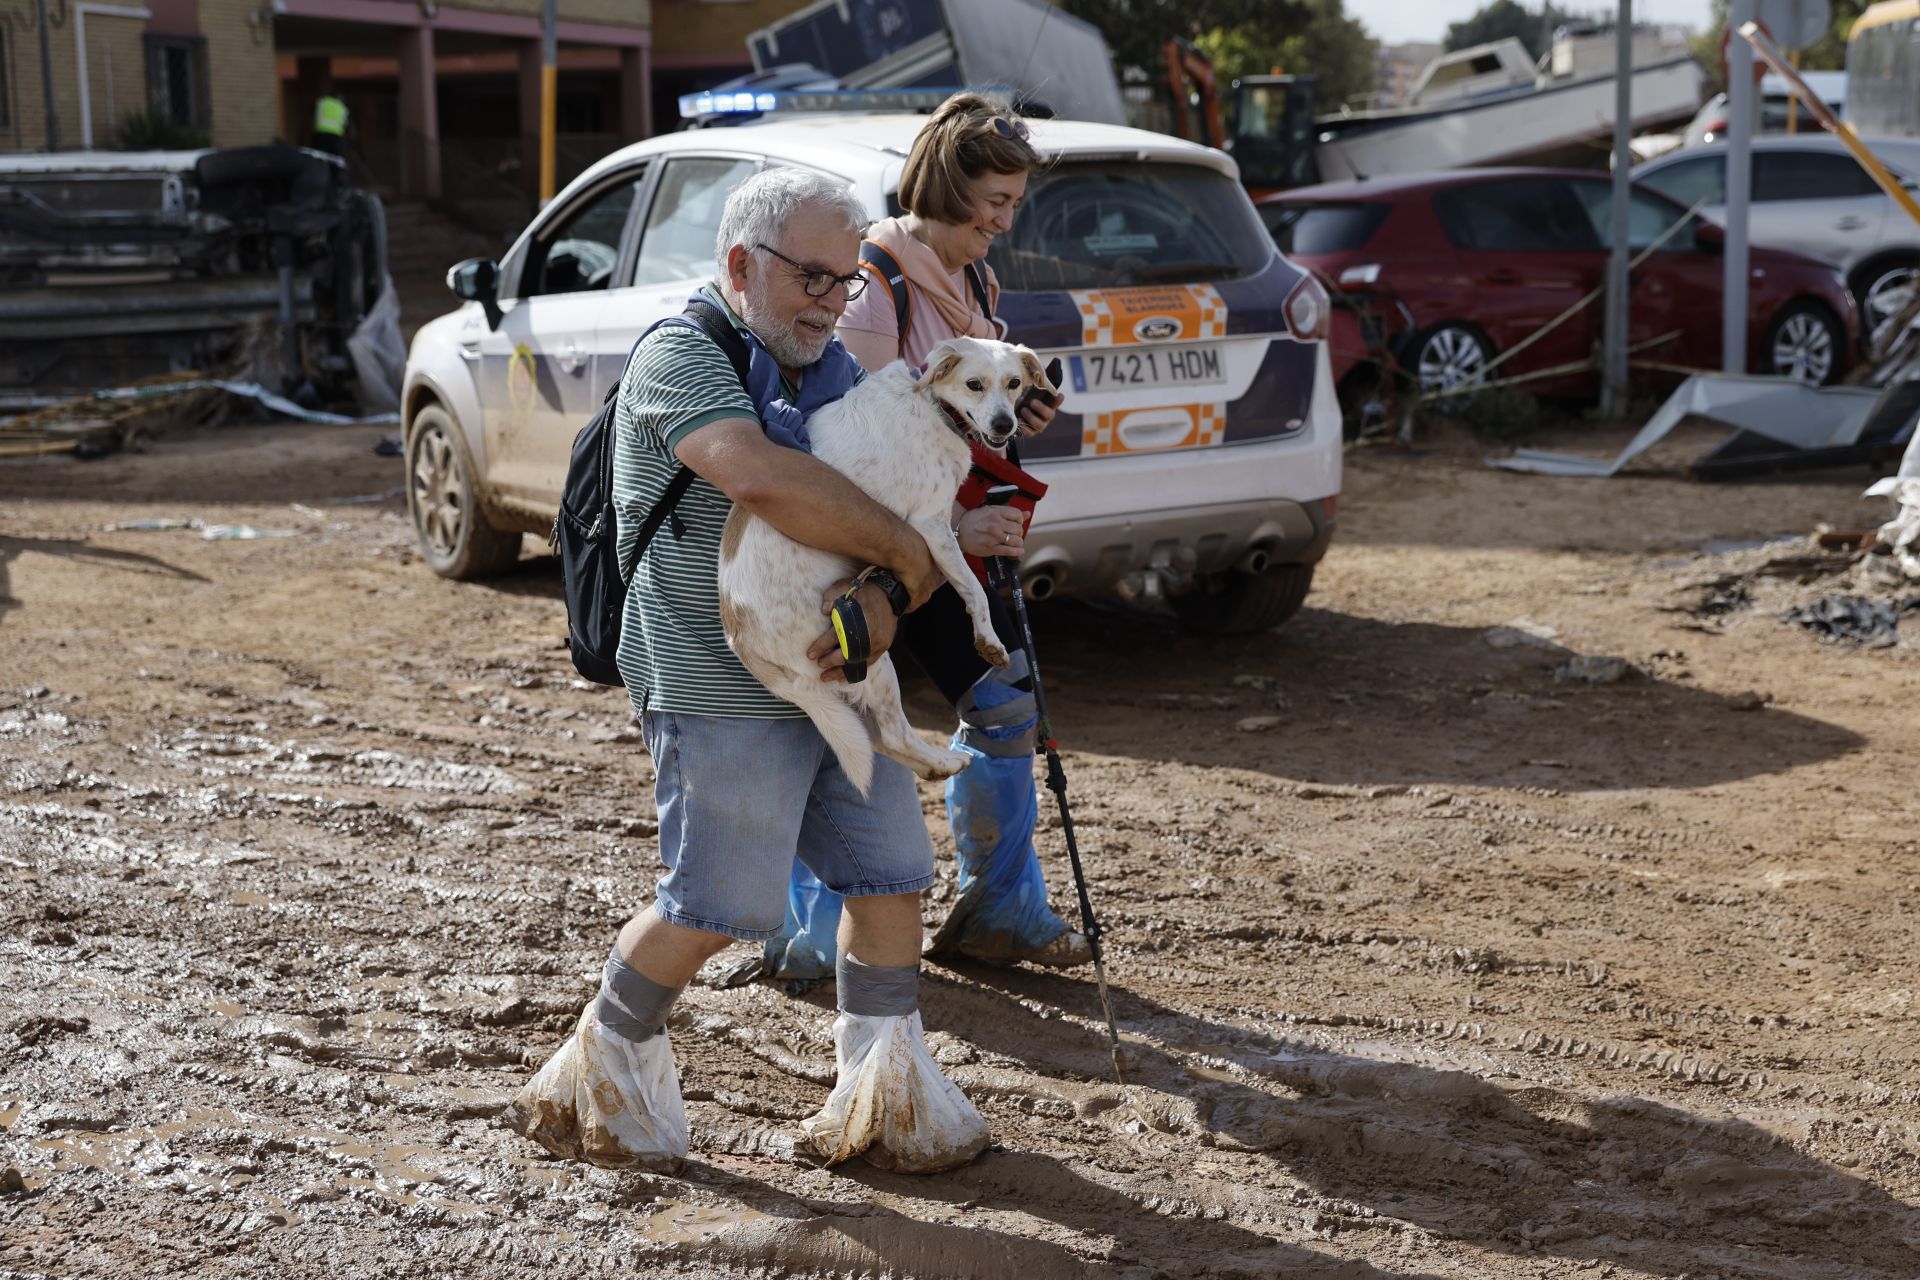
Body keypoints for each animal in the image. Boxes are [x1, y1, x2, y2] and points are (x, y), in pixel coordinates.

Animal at [714, 335, 1059, 794]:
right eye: (974, 384)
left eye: (1015, 383)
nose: (1005, 426)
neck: (932, 404)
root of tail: (739, 635)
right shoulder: (930, 524)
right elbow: (972, 589)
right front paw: (989, 641)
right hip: (866, 653)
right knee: (892, 734)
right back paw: (946, 762)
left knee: (879, 737)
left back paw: (936, 766)